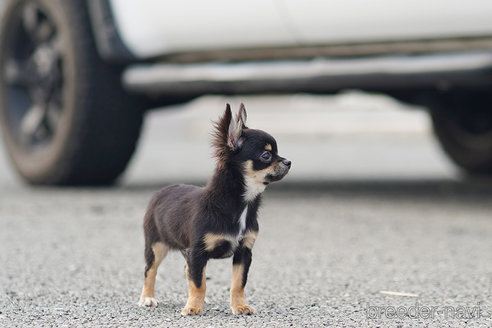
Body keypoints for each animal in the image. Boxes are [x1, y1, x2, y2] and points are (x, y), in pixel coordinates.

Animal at [138, 104, 290, 316]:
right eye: (266, 155)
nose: (289, 162)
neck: (243, 204)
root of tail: (162, 191)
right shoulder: (198, 252)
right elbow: (199, 283)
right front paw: (193, 307)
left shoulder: (243, 252)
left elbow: (237, 283)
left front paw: (239, 306)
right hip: (155, 245)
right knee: (150, 271)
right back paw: (147, 298)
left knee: (187, 270)